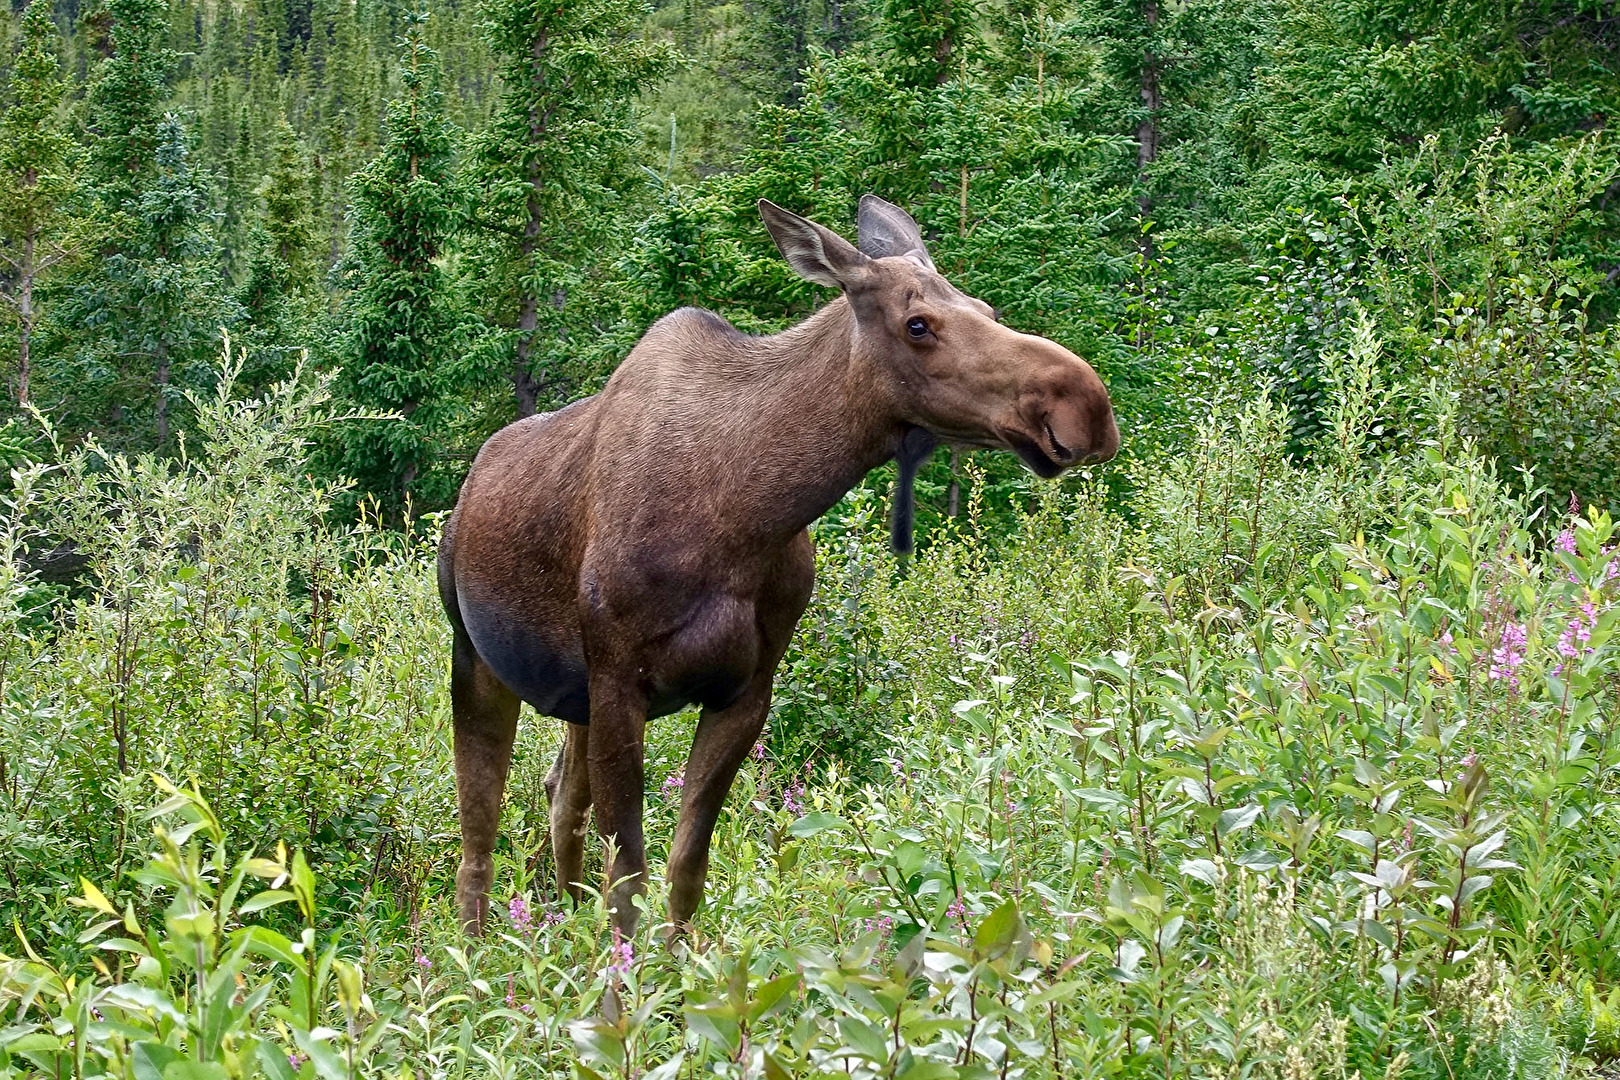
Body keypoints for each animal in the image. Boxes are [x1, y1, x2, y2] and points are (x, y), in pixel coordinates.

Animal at [437, 196, 1121, 939]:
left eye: (987, 308)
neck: (748, 512)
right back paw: (474, 955)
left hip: (571, 697)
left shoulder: (745, 692)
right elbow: (629, 878)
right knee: (478, 835)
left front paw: (674, 974)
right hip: (476, 659)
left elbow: (684, 870)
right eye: (917, 324)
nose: (1085, 406)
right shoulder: (621, 682)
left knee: (560, 797)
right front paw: (623, 976)